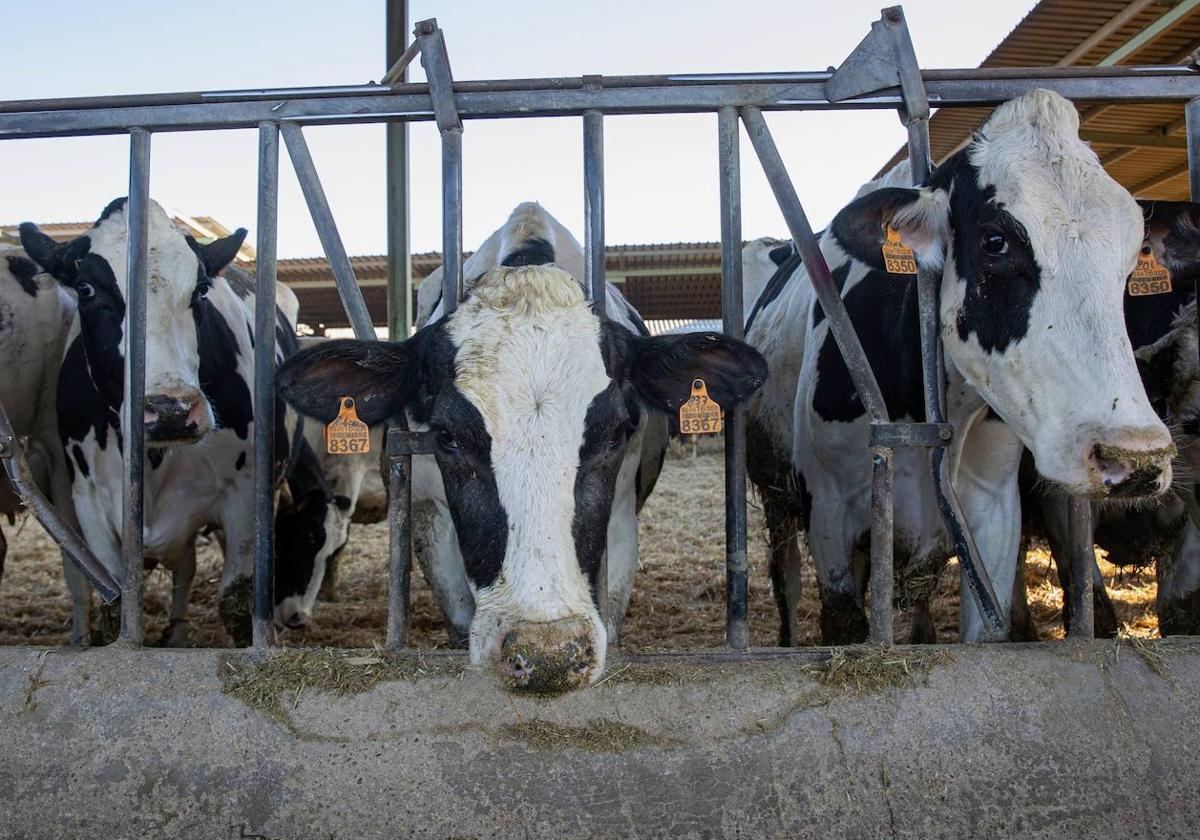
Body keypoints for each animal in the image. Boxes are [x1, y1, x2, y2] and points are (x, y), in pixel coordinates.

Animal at [744, 88, 1176, 648]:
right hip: (778, 496)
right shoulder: (831, 514)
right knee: (788, 580)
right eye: (995, 241)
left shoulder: (994, 514)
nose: (1137, 457)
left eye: (1131, 253)